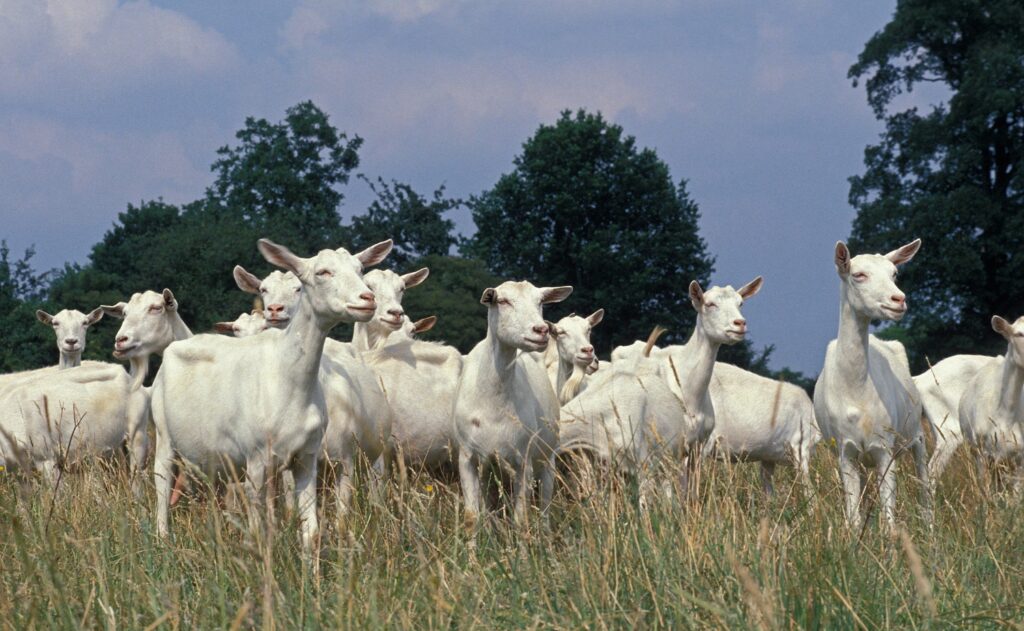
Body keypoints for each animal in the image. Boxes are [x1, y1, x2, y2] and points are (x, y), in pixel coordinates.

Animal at [454, 280, 573, 528]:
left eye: (541, 301)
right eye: (503, 301)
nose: (541, 330)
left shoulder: (523, 461)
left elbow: (521, 519)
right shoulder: (467, 456)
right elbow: (472, 517)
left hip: (547, 458)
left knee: (544, 508)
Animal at [811, 238, 933, 528]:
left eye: (894, 273)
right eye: (859, 275)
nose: (898, 300)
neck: (857, 394)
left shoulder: (885, 448)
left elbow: (889, 518)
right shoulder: (845, 451)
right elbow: (853, 516)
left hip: (917, 434)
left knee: (924, 481)